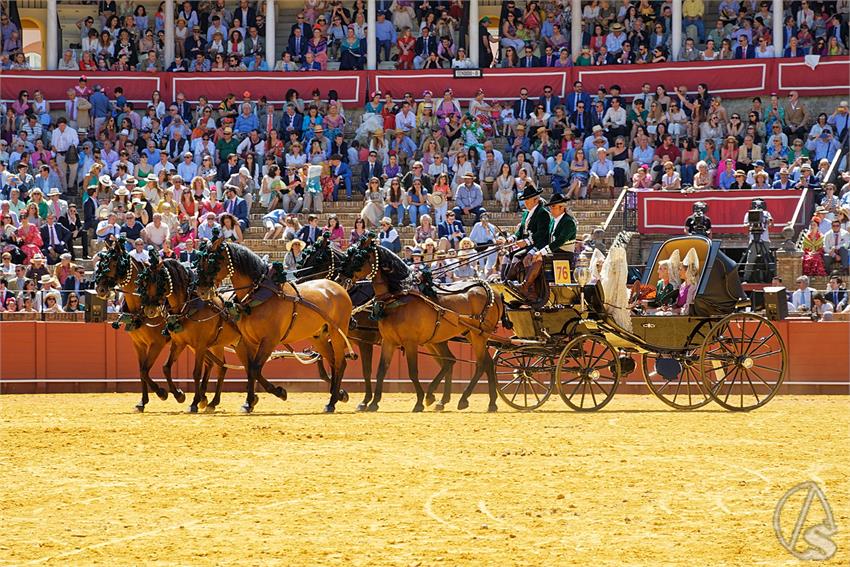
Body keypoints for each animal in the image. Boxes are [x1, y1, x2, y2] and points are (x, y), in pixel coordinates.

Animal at [93, 239, 186, 412]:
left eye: (114, 263)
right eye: (101, 263)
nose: (100, 289)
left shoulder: (157, 343)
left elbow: (145, 370)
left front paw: (163, 393)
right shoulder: (139, 344)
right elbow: (142, 371)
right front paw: (143, 402)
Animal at [192, 235, 352, 412]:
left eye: (212, 262)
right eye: (200, 262)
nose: (201, 291)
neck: (258, 293)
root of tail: (338, 287)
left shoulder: (269, 340)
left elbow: (255, 368)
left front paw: (279, 392)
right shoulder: (248, 340)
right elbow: (250, 369)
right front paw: (249, 402)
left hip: (337, 333)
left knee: (340, 362)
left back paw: (332, 402)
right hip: (319, 337)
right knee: (333, 362)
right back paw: (339, 395)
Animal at [334, 235, 500, 412]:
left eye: (356, 259)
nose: (339, 280)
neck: (397, 298)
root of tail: (489, 289)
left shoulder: (409, 342)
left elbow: (412, 372)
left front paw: (419, 401)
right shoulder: (389, 341)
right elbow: (381, 371)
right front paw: (373, 402)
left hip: (477, 336)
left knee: (480, 364)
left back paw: (462, 399)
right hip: (457, 336)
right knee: (477, 362)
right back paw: (488, 402)